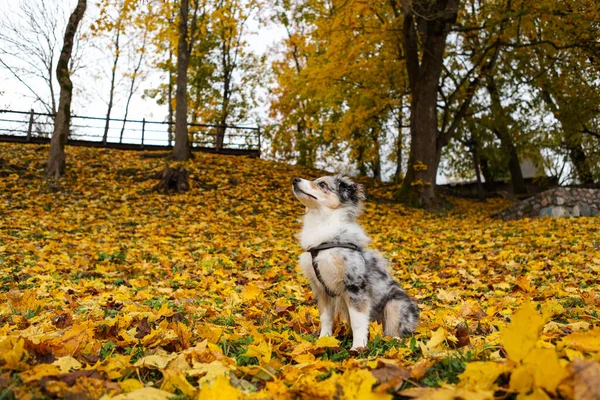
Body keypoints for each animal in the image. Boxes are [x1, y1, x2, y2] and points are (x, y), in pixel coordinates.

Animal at [290, 175, 418, 350]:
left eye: (322, 184)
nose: (295, 179)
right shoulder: (320, 288)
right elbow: (325, 317)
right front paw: (323, 340)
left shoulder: (354, 286)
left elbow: (358, 321)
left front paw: (358, 348)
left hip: (395, 304)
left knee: (396, 332)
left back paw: (393, 341)